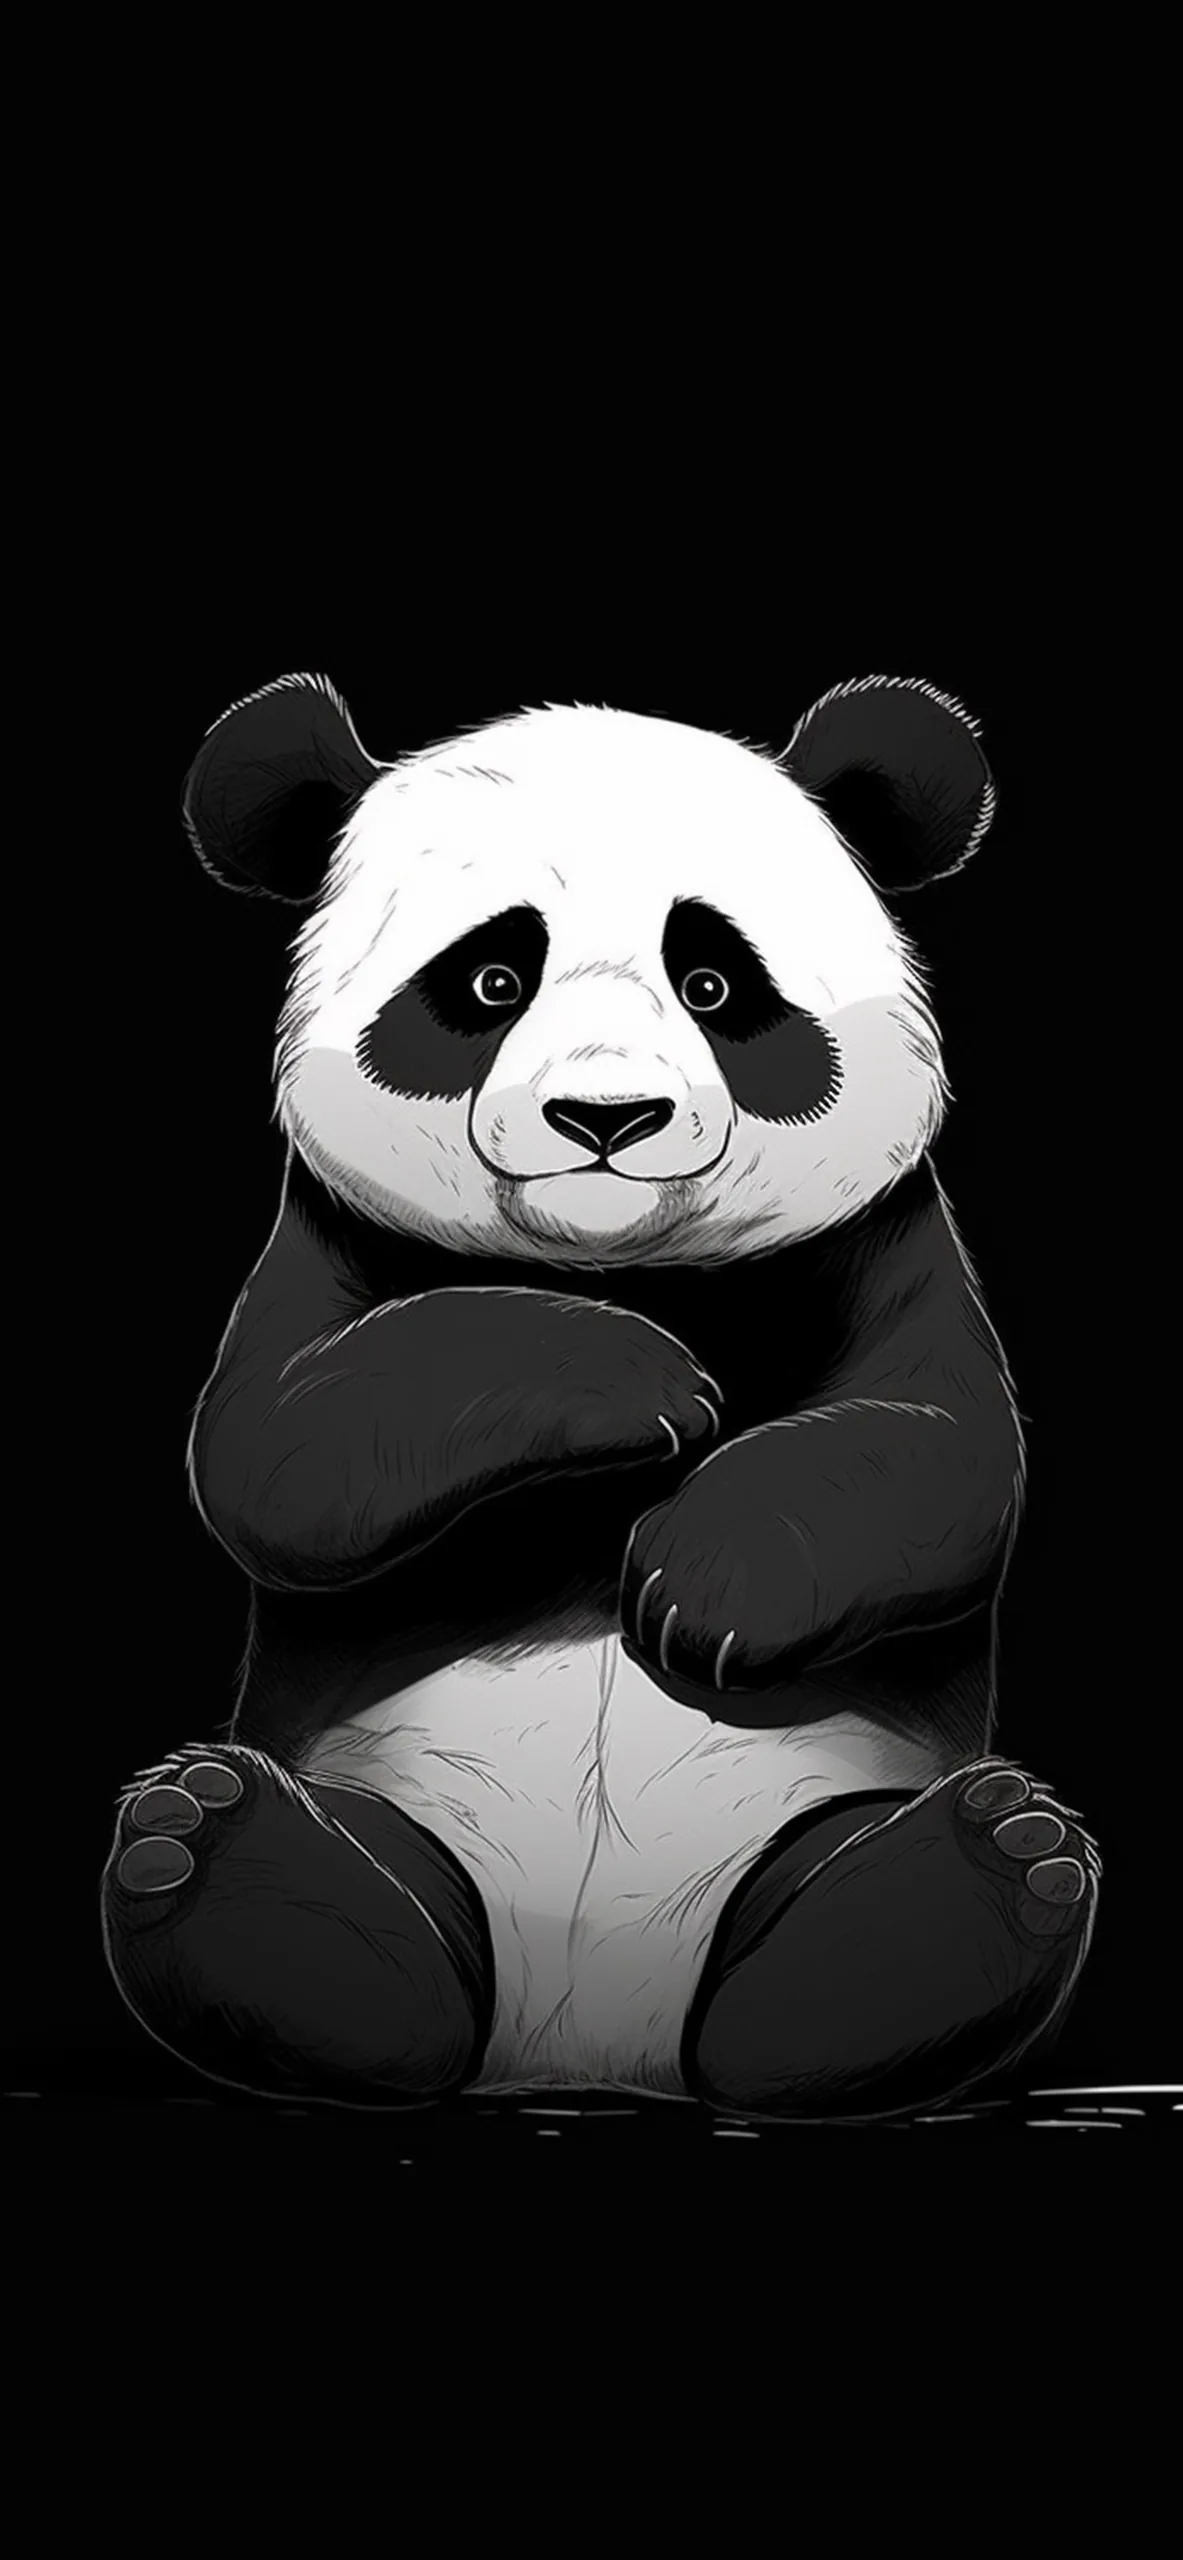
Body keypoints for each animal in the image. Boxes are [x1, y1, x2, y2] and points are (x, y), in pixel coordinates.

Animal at [101, 672, 1100, 2120]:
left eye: (714, 982)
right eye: (489, 979)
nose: (604, 1119)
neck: (623, 1260)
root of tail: (583, 2045)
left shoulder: (886, 1242)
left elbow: (942, 1450)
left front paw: (701, 1579)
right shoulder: (327, 1237)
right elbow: (272, 1449)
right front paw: (632, 1379)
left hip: (805, 1816)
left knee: (830, 1930)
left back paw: (979, 1876)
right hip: (393, 1801)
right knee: (376, 1934)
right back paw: (215, 1856)